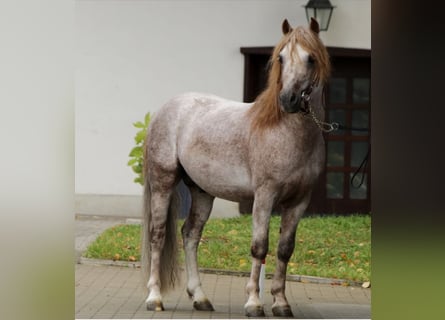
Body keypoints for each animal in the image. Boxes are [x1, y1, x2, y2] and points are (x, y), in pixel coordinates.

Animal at [142, 18, 330, 316]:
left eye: (311, 58)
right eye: (281, 57)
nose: (288, 100)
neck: (287, 133)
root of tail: (164, 109)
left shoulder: (299, 202)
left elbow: (284, 249)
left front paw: (280, 303)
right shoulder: (264, 196)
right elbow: (259, 247)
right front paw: (254, 302)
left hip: (202, 192)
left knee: (190, 235)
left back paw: (200, 297)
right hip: (163, 182)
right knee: (158, 235)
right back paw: (154, 298)